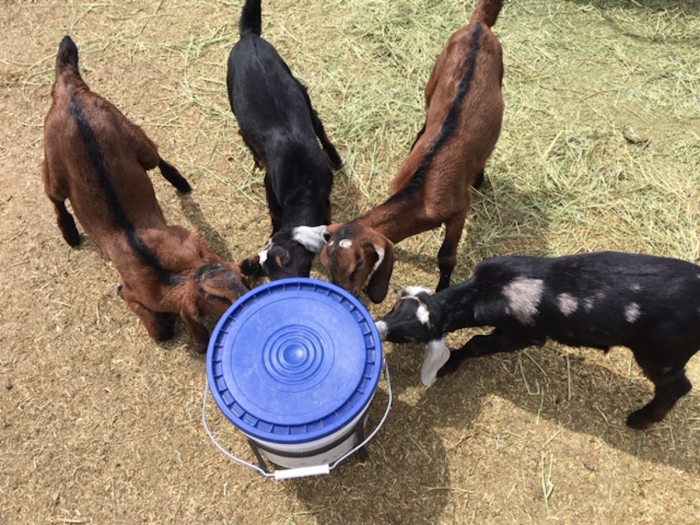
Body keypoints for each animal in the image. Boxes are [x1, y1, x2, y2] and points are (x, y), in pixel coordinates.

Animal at [42, 36, 249, 354]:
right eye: (216, 298)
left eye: (241, 280)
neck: (169, 274)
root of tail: (69, 91)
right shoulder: (134, 289)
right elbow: (159, 331)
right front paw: (160, 321)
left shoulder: (190, 241)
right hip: (54, 160)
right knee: (53, 195)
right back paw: (69, 233)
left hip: (126, 130)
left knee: (155, 157)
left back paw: (180, 181)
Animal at [226, 0, 342, 281]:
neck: (302, 188)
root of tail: (249, 37)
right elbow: (274, 215)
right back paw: (256, 157)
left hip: (298, 87)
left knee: (318, 125)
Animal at [297, 0, 504, 303]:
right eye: (325, 262)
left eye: (358, 264)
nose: (345, 294)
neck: (422, 191)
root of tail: (479, 25)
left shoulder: (458, 210)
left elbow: (446, 256)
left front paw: (443, 289)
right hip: (435, 76)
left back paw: (479, 177)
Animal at [376, 251, 700, 429]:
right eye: (395, 307)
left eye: (410, 337)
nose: (379, 328)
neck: (492, 288)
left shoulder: (522, 335)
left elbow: (477, 342)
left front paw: (448, 365)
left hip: (661, 354)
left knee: (677, 388)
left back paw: (640, 420)